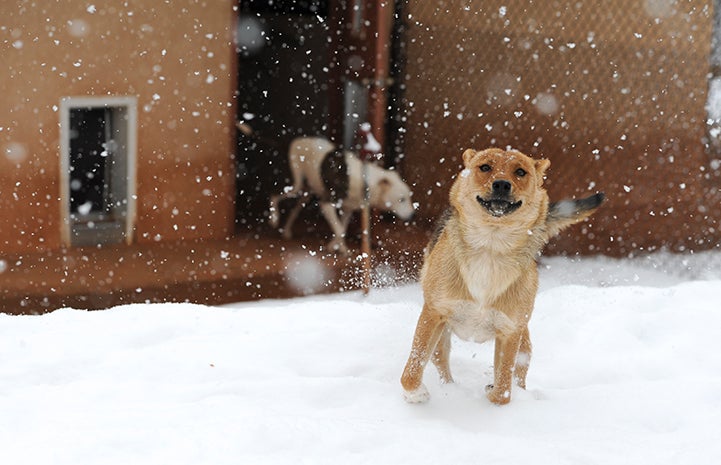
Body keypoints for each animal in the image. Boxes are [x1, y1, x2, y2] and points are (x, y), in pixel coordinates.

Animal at [268, 135, 414, 254]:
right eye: (401, 199)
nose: (412, 216)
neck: (365, 182)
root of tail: (297, 140)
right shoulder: (327, 204)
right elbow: (339, 230)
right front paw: (342, 249)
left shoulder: (348, 208)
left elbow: (342, 229)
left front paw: (335, 246)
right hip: (296, 185)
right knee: (274, 195)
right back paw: (274, 219)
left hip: (307, 192)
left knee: (295, 209)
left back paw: (286, 231)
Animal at [400, 148, 600, 402]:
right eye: (485, 167)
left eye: (520, 172)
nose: (502, 184)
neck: (491, 247)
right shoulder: (433, 315)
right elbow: (411, 371)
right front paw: (416, 395)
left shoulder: (510, 332)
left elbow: (503, 390)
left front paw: (492, 392)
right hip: (441, 337)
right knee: (441, 363)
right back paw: (450, 388)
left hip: (524, 344)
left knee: (519, 376)